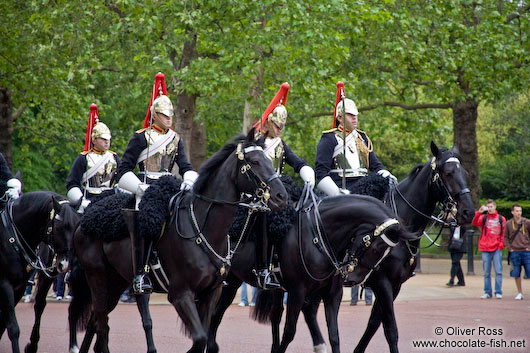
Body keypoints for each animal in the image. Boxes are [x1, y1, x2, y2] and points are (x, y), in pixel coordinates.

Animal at [0, 191, 78, 352]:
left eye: (76, 226)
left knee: (40, 305)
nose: (66, 264)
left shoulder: (19, 286)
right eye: (59, 227)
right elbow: (12, 327)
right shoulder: (5, 284)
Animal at [69, 129, 284, 352]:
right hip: (98, 278)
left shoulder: (210, 294)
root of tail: (85, 219)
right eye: (255, 161)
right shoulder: (181, 294)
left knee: (97, 323)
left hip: (117, 281)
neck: (202, 228)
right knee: (102, 324)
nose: (281, 196)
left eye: (270, 160)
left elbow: (203, 338)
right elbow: (199, 338)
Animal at [206, 184, 416, 352]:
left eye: (387, 252)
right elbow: (289, 332)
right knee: (215, 315)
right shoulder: (297, 291)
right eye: (377, 247)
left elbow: (334, 335)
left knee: (274, 315)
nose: (355, 278)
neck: (319, 235)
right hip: (228, 282)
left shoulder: (333, 294)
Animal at [296, 141, 474, 352]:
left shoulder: (395, 285)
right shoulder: (383, 282)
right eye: (448, 173)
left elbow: (374, 323)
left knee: (309, 309)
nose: (468, 212)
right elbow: (391, 330)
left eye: (464, 172)